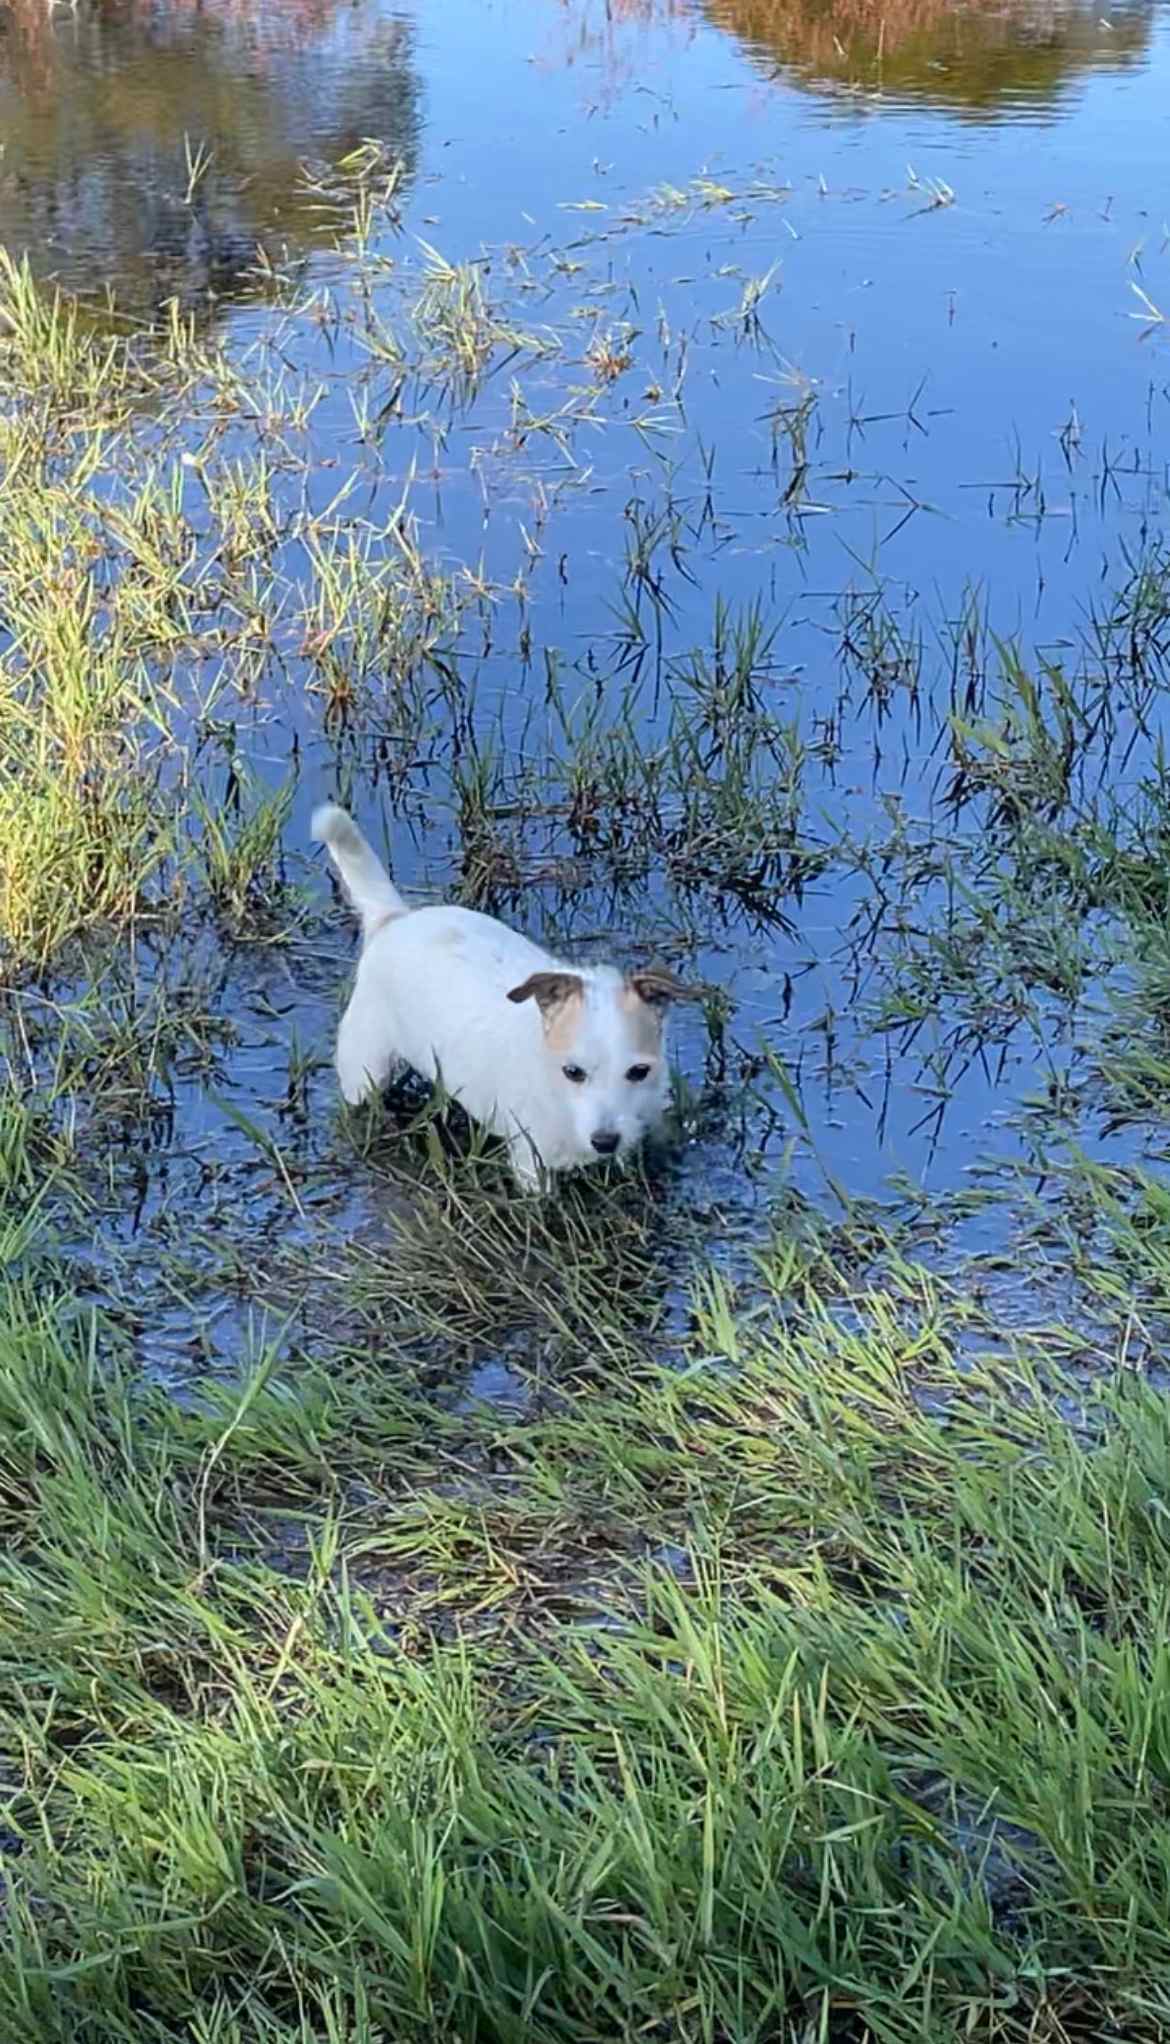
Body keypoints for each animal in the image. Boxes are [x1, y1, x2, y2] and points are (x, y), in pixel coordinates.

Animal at [312, 801, 695, 1193]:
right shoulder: (531, 1161)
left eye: (639, 1072)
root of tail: (393, 919)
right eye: (572, 1072)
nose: (604, 1141)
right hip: (366, 1068)